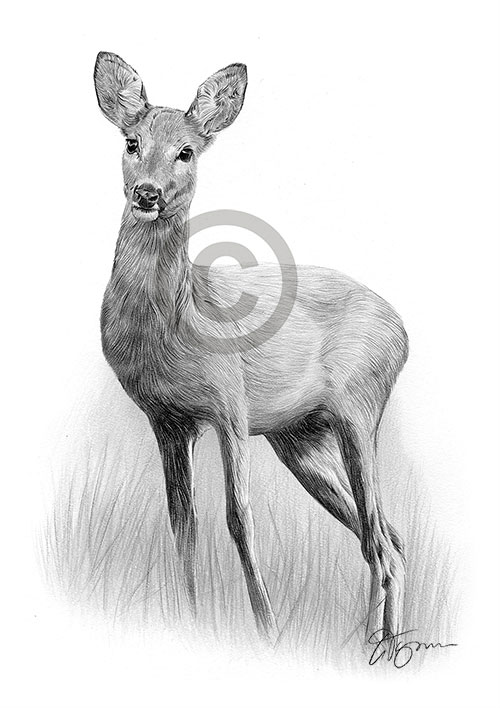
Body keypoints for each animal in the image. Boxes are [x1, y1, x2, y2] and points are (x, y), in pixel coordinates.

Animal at [94, 51, 409, 643]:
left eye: (187, 150)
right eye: (131, 141)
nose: (147, 193)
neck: (178, 318)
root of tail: (403, 331)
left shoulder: (230, 407)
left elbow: (239, 518)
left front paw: (267, 630)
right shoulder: (168, 421)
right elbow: (183, 525)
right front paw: (191, 619)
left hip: (359, 411)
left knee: (379, 543)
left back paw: (372, 645)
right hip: (301, 441)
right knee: (389, 539)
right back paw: (382, 643)